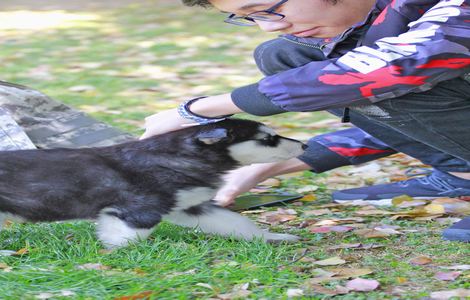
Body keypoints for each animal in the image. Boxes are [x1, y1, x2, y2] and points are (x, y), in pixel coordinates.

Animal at [0, 118, 304, 247]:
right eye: (267, 139)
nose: (303, 144)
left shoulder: (192, 205)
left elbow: (237, 223)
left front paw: (271, 237)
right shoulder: (140, 210)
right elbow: (128, 237)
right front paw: (115, 254)